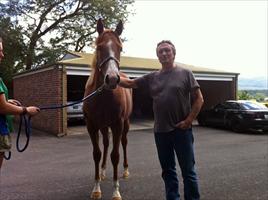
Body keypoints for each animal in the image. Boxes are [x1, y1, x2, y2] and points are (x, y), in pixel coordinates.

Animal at [82, 19, 131, 200]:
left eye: (120, 48)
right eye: (99, 47)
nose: (112, 79)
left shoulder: (117, 124)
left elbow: (115, 156)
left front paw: (116, 191)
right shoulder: (92, 125)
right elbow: (96, 154)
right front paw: (96, 188)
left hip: (125, 124)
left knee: (123, 143)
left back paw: (125, 170)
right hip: (103, 126)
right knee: (106, 143)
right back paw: (103, 171)